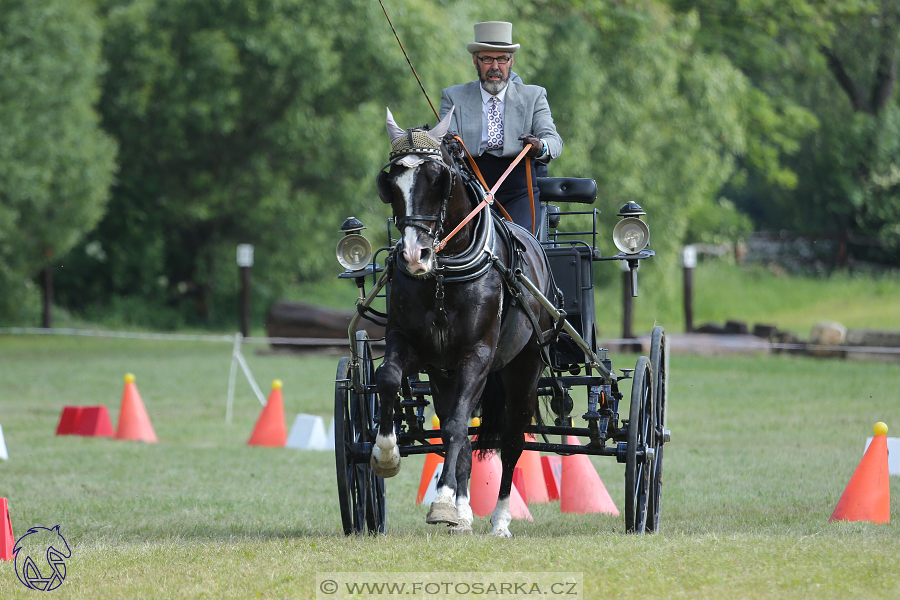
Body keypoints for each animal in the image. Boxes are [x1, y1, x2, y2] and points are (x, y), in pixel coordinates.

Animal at [372, 106, 556, 536]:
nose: (414, 255)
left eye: (438, 180)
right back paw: (465, 511)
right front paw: (386, 455)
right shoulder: (409, 342)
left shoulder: (478, 354)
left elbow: (457, 424)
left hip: (524, 369)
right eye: (390, 183)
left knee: (512, 441)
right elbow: (388, 379)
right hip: (445, 373)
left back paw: (500, 520)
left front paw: (441, 503)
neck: (444, 274)